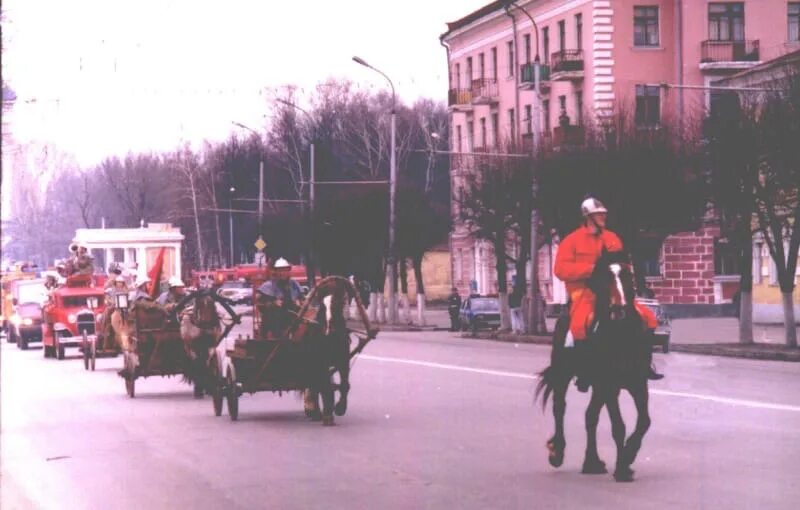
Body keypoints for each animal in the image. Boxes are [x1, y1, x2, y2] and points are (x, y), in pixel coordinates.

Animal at [536, 251, 652, 482]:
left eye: (627, 275)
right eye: (604, 278)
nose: (619, 310)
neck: (621, 335)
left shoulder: (638, 384)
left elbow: (644, 421)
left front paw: (629, 455)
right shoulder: (609, 385)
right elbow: (618, 426)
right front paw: (622, 467)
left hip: (599, 388)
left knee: (590, 416)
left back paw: (592, 462)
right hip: (564, 375)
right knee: (559, 408)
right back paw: (558, 452)